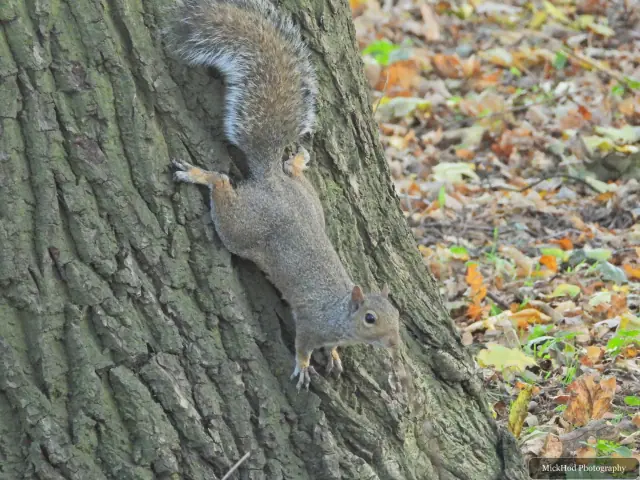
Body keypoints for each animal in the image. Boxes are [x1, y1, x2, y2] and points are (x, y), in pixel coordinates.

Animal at [167, 0, 401, 390]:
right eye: (370, 318)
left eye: (395, 312)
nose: (394, 342)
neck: (340, 314)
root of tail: (270, 180)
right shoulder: (309, 324)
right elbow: (303, 346)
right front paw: (305, 367)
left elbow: (331, 348)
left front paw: (334, 356)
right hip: (242, 227)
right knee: (222, 184)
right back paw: (201, 175)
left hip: (309, 201)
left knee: (289, 175)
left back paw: (297, 162)